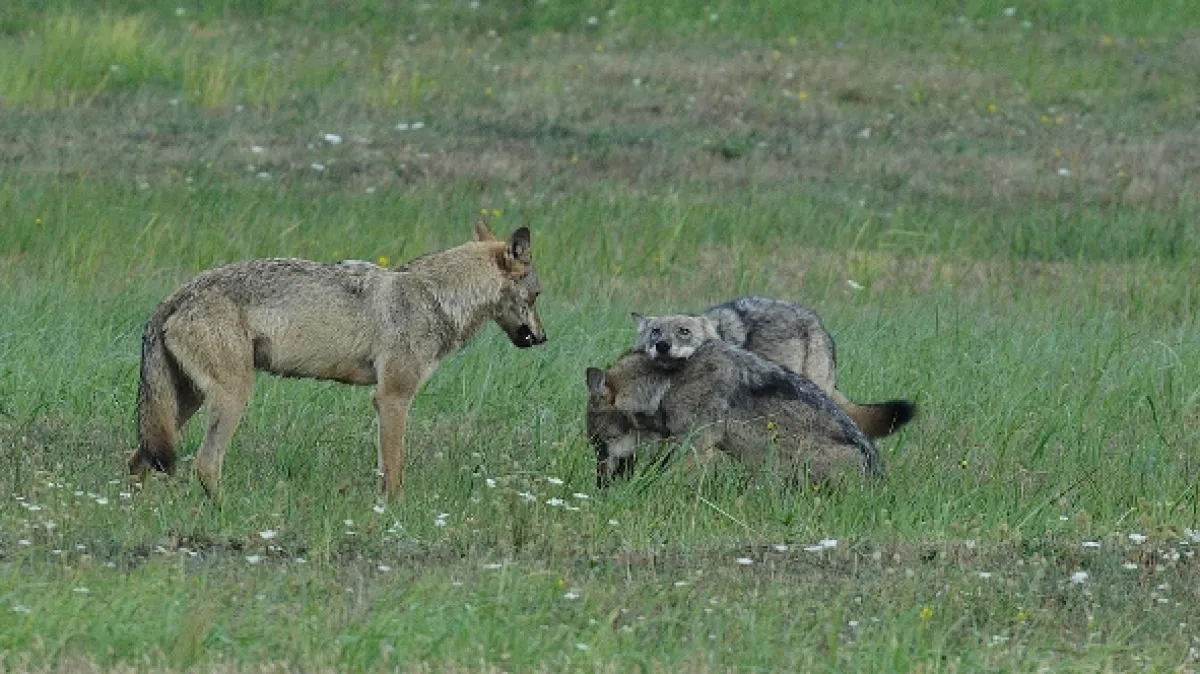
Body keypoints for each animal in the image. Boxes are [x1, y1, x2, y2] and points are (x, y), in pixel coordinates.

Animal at [129, 218, 545, 499]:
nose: (543, 338)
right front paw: (394, 516)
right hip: (232, 398)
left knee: (140, 459)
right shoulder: (392, 398)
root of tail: (176, 295)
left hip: (185, 405)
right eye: (538, 294)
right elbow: (394, 472)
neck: (436, 298)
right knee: (204, 464)